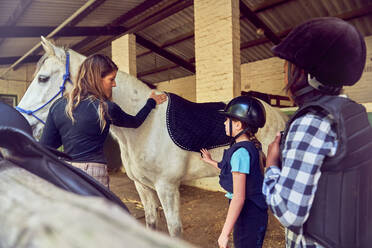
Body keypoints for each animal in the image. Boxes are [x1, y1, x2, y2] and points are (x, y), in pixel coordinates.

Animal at [17, 36, 288, 236]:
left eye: (42, 78)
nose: (23, 121)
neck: (143, 128)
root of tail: (279, 117)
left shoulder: (167, 188)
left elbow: (174, 230)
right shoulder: (143, 187)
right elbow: (151, 223)